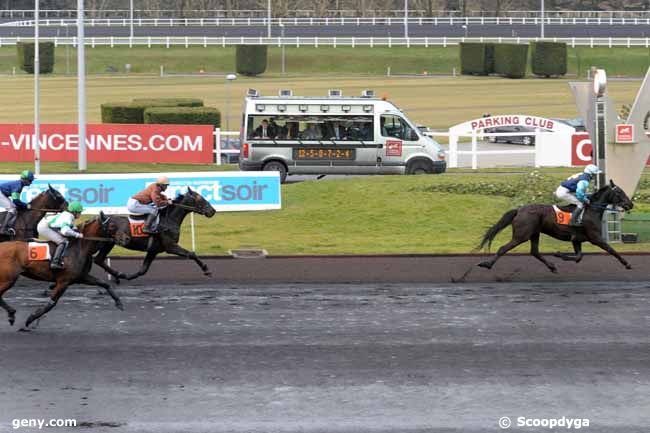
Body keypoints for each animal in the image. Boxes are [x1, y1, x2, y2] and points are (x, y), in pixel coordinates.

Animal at [476, 181, 632, 272]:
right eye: (619, 192)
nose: (630, 204)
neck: (591, 210)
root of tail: (519, 210)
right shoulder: (595, 237)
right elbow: (611, 250)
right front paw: (627, 264)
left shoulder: (576, 239)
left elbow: (578, 257)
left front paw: (559, 254)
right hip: (522, 235)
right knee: (503, 248)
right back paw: (487, 264)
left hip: (535, 233)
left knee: (534, 252)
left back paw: (552, 266)